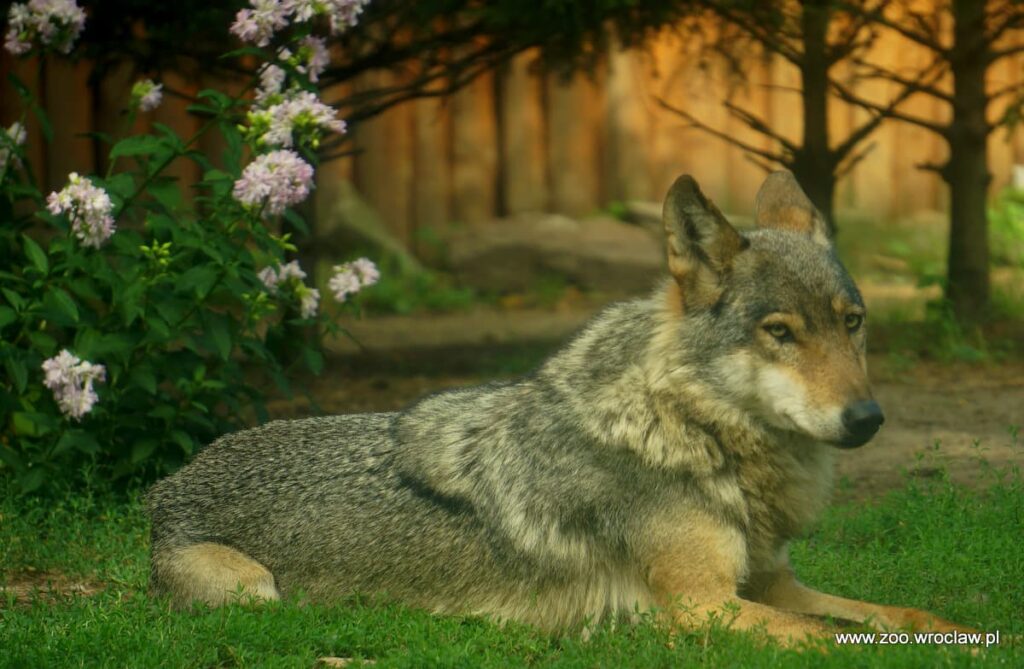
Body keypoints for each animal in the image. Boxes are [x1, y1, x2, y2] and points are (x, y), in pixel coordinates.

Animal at [148, 171, 970, 643]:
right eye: (780, 333)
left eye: (852, 323)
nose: (867, 419)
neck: (697, 434)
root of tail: (166, 487)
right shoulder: (703, 603)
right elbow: (829, 641)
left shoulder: (772, 583)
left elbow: (903, 616)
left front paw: (967, 630)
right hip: (256, 595)